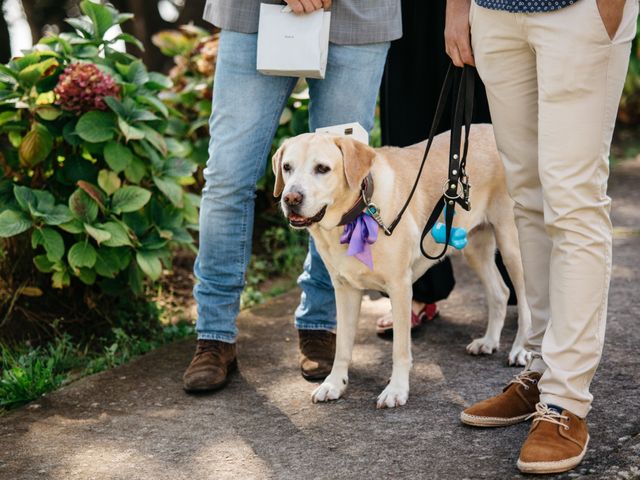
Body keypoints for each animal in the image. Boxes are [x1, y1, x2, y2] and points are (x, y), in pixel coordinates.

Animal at [274, 124, 528, 408]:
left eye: (322, 168)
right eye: (287, 167)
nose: (291, 198)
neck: (358, 213)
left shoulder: (400, 287)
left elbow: (400, 349)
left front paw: (396, 390)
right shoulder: (345, 289)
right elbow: (342, 348)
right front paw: (334, 384)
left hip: (512, 244)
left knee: (527, 301)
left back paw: (521, 348)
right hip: (474, 246)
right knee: (501, 292)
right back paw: (489, 341)